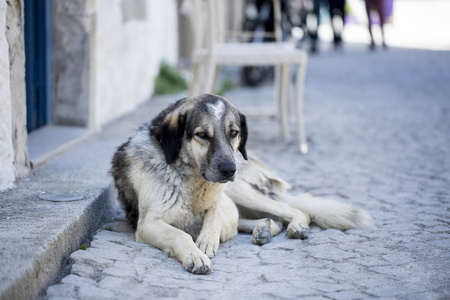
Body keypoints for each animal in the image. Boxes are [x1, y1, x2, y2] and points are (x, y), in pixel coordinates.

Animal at [110, 94, 370, 274]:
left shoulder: (224, 203)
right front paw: (195, 255)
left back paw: (292, 226)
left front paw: (206, 240)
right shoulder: (148, 224)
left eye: (233, 133)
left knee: (293, 210)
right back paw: (264, 229)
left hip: (240, 190)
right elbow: (181, 235)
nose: (229, 169)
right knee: (271, 218)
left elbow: (215, 213)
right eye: (202, 135)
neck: (192, 180)